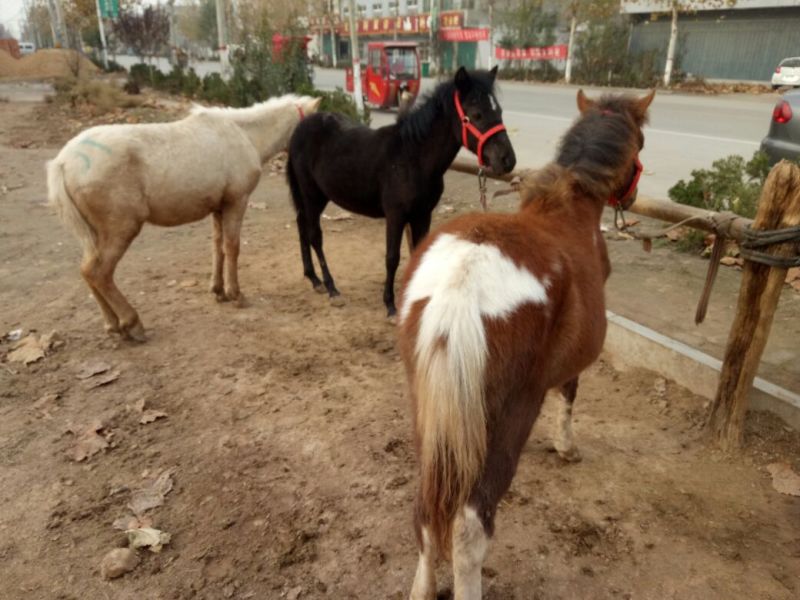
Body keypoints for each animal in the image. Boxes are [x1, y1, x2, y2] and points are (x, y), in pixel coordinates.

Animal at [48, 94, 321, 341]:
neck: (245, 135)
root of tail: (63, 162)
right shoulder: (236, 203)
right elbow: (232, 247)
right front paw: (236, 294)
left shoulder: (218, 209)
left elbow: (218, 248)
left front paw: (218, 291)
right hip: (121, 229)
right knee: (99, 273)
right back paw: (132, 323)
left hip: (95, 235)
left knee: (87, 271)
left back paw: (113, 325)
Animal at [286, 66, 517, 318]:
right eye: (476, 114)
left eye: (499, 110)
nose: (508, 160)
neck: (412, 158)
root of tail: (299, 129)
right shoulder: (395, 215)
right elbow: (392, 257)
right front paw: (390, 305)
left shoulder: (422, 215)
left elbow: (419, 251)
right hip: (312, 194)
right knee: (314, 235)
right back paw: (330, 287)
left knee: (301, 226)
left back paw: (314, 279)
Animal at [398, 89, 655, 599]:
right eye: (640, 141)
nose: (632, 193)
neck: (571, 206)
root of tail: (464, 279)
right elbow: (570, 392)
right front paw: (565, 445)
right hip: (504, 420)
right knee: (469, 530)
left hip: (428, 416)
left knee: (426, 514)